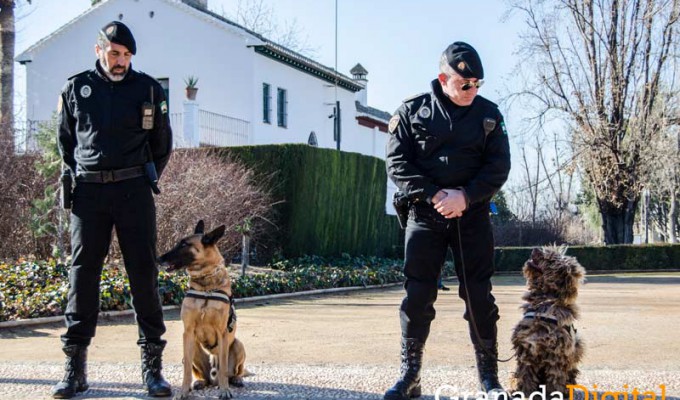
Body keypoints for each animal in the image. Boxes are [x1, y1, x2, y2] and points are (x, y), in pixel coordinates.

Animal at [158, 220, 246, 398]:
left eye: (184, 244)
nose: (158, 258)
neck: (206, 287)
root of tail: (212, 378)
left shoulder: (222, 333)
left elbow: (223, 368)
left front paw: (225, 390)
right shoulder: (188, 332)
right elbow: (186, 370)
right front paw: (183, 392)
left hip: (238, 345)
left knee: (235, 371)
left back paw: (235, 380)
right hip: (194, 348)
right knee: (200, 374)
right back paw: (199, 382)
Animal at [512, 245, 588, 396]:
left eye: (552, 260)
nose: (535, 248)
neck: (543, 303)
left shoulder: (555, 355)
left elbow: (554, 381)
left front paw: (553, 394)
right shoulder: (526, 350)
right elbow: (526, 377)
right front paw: (526, 393)